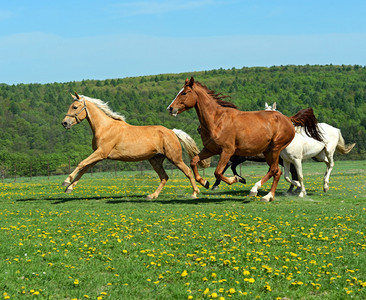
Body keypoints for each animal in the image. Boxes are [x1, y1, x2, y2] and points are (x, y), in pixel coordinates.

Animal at [60, 91, 209, 199]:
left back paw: (196, 192)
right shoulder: (99, 156)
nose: (64, 123)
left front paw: (66, 182)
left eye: (75, 107)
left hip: (175, 158)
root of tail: (172, 132)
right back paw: (152, 196)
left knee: (187, 171)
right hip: (155, 160)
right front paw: (69, 188)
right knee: (164, 177)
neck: (105, 127)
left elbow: (81, 164)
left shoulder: (100, 153)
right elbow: (84, 168)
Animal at [167, 78, 324, 203]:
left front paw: (236, 179)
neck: (217, 120)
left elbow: (218, 172)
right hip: (268, 152)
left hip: (275, 149)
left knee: (275, 170)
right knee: (277, 172)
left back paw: (260, 192)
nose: (170, 108)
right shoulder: (210, 149)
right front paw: (205, 182)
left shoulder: (227, 151)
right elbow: (194, 161)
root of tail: (288, 119)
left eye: (184, 93)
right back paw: (269, 194)